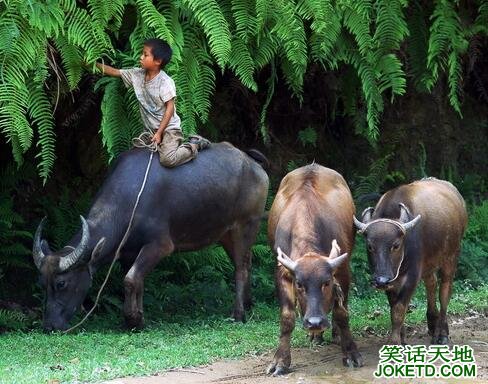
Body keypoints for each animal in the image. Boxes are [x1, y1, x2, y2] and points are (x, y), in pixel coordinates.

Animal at [33, 143, 270, 330]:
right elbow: (136, 280)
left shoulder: (159, 245)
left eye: (61, 283)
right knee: (246, 262)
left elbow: (130, 279)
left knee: (240, 267)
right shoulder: (128, 252)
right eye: (42, 283)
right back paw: (249, 304)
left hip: (246, 225)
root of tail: (252, 162)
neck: (128, 203)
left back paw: (238, 313)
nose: (49, 326)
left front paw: (133, 320)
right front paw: (136, 317)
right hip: (225, 234)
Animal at [266, 164, 362, 376]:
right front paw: (280, 361)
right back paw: (315, 336)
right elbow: (287, 317)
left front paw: (351, 353)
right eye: (299, 284)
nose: (315, 322)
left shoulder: (342, 271)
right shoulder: (282, 273)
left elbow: (342, 312)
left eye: (326, 283)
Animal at [352, 177, 468, 344]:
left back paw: (442, 333)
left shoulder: (412, 276)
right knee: (431, 284)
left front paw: (394, 342)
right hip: (429, 263)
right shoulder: (392, 282)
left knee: (444, 291)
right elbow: (394, 308)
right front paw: (402, 338)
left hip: (452, 256)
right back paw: (432, 323)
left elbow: (399, 309)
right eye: (370, 246)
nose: (381, 280)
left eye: (396, 245)